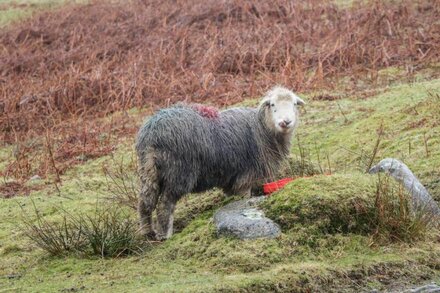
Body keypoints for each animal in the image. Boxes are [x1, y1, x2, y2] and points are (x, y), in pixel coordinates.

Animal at [136, 85, 304, 238]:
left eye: (294, 104)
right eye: (272, 104)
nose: (286, 122)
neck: (262, 128)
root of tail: (153, 132)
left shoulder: (232, 180)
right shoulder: (245, 177)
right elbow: (244, 198)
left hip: (148, 170)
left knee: (145, 202)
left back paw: (147, 232)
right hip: (178, 172)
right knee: (165, 205)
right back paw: (166, 235)